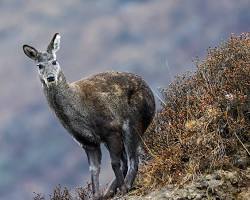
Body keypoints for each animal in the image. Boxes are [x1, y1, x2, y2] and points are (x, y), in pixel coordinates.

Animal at [22, 33, 155, 199]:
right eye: (39, 65)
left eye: (54, 61)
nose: (51, 78)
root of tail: (151, 95)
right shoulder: (88, 142)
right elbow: (94, 169)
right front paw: (96, 195)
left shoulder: (111, 128)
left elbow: (114, 163)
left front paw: (123, 189)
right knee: (128, 159)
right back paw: (109, 191)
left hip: (133, 121)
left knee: (133, 158)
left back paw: (125, 186)